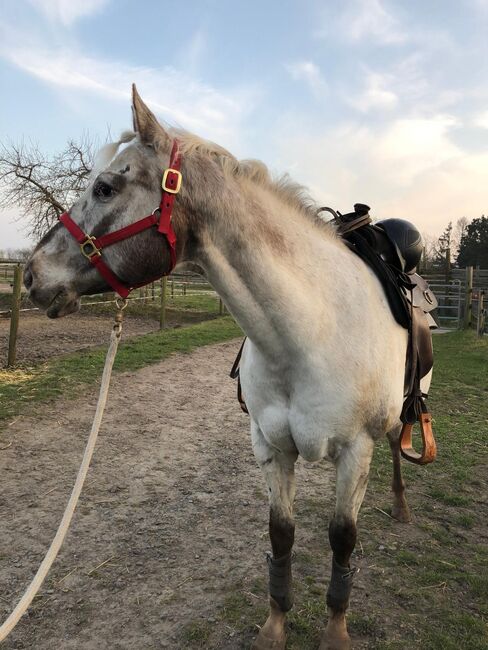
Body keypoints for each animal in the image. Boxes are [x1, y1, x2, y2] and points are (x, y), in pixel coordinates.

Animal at [24, 86, 428, 648]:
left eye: (105, 188)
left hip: (396, 417)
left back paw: (402, 505)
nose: (29, 274)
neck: (311, 331)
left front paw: (335, 630)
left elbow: (342, 540)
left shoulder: (355, 451)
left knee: (397, 446)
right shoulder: (271, 446)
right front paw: (275, 625)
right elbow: (281, 535)